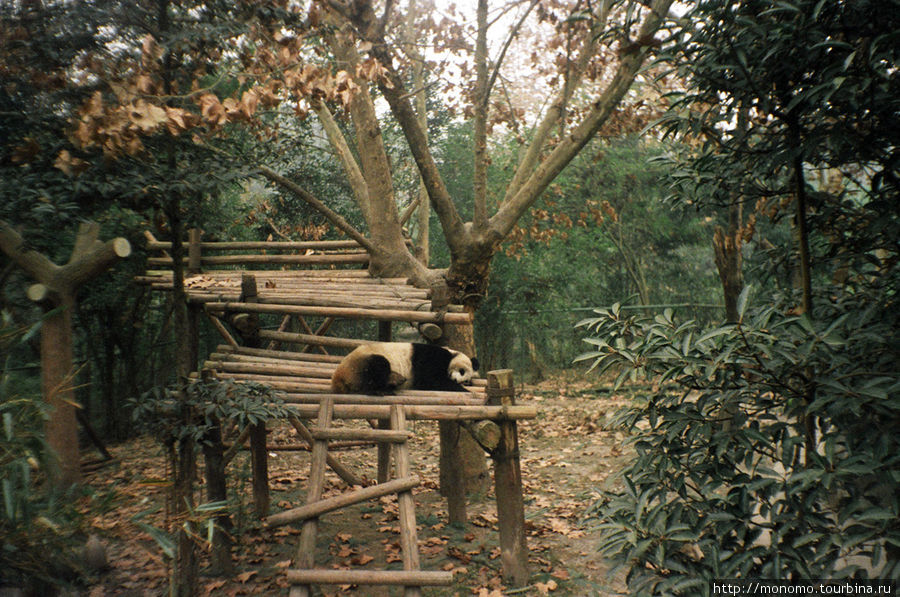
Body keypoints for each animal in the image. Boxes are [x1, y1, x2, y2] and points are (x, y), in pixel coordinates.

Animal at [330, 342, 482, 394]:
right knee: (378, 365)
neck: (451, 354)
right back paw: (384, 387)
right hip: (359, 364)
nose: (457, 381)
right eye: (462, 371)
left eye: (465, 380)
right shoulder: (431, 357)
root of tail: (337, 378)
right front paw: (464, 390)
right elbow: (430, 380)